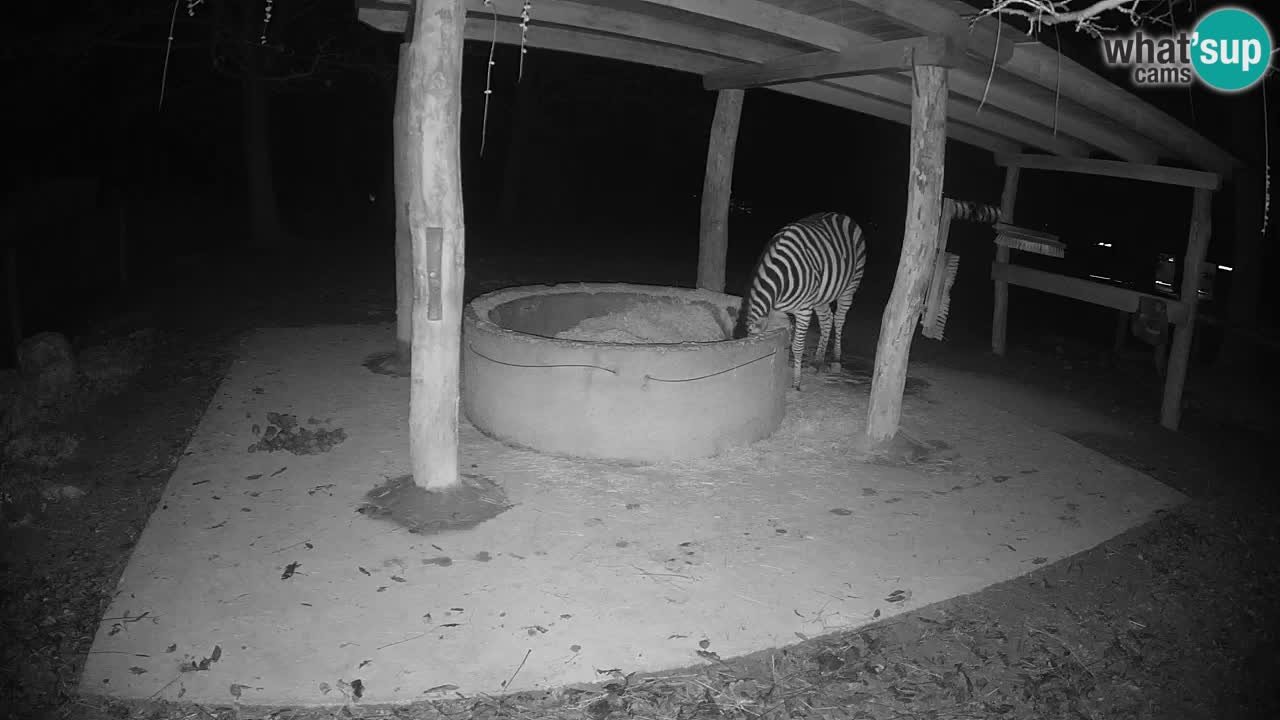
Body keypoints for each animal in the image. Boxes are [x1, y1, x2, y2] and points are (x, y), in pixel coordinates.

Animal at [734, 212, 868, 390]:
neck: (780, 278)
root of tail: (841, 214)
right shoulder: (779, 311)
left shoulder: (804, 309)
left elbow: (797, 346)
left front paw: (796, 383)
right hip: (821, 296)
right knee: (827, 320)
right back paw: (817, 361)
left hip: (851, 285)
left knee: (839, 319)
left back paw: (836, 361)